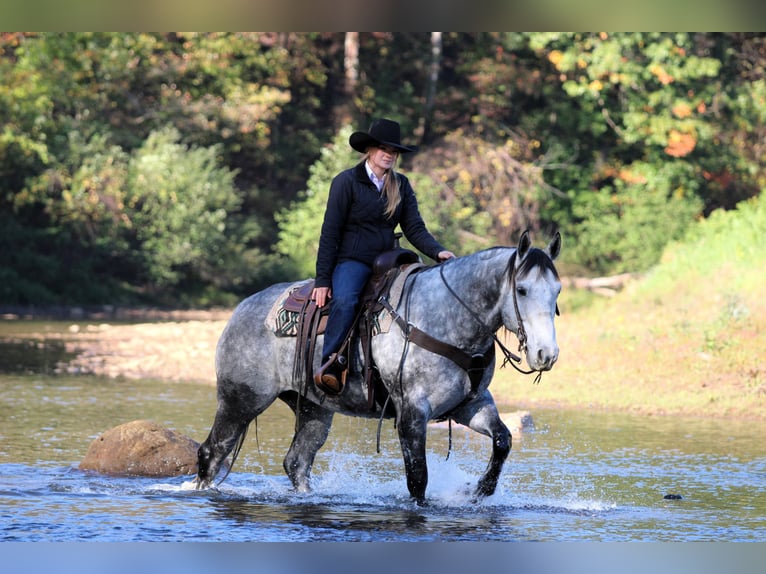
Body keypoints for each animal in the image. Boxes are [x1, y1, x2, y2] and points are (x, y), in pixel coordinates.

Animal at [195, 230, 562, 505]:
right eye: (521, 289)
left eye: (556, 291)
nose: (546, 354)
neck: (445, 317)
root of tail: (240, 310)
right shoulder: (411, 413)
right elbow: (418, 478)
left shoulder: (470, 405)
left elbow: (502, 441)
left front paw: (477, 490)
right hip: (241, 401)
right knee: (212, 453)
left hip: (314, 410)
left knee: (296, 462)